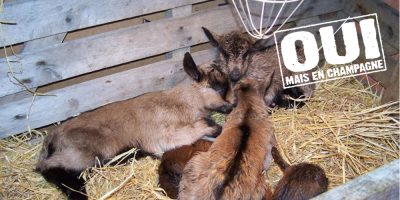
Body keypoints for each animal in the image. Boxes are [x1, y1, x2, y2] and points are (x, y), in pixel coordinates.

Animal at [36, 52, 231, 199]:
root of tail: (51, 139)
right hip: (81, 153)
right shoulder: (166, 136)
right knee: (51, 168)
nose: (232, 105)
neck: (181, 102)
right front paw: (216, 129)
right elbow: (203, 128)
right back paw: (78, 193)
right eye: (218, 88)